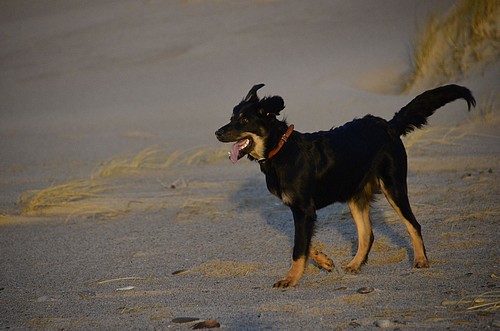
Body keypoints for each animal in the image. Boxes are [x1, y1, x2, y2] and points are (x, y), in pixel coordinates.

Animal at [214, 84, 472, 290]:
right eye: (232, 117)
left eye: (244, 120)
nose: (217, 132)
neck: (281, 150)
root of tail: (388, 125)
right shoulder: (303, 211)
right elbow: (305, 244)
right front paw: (325, 261)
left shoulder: (304, 209)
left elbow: (298, 248)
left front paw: (290, 279)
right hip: (355, 195)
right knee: (367, 234)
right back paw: (355, 264)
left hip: (393, 186)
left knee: (413, 224)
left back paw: (420, 260)